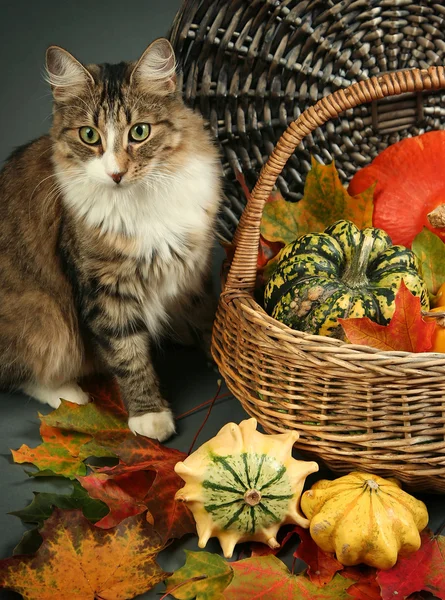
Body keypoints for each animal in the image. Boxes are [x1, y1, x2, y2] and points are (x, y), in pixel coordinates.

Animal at [0, 38, 221, 440]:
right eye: (89, 135)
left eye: (140, 132)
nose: (116, 173)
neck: (142, 201)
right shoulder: (104, 289)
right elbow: (128, 356)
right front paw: (149, 416)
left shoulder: (193, 271)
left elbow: (208, 318)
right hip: (43, 317)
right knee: (24, 372)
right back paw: (69, 395)